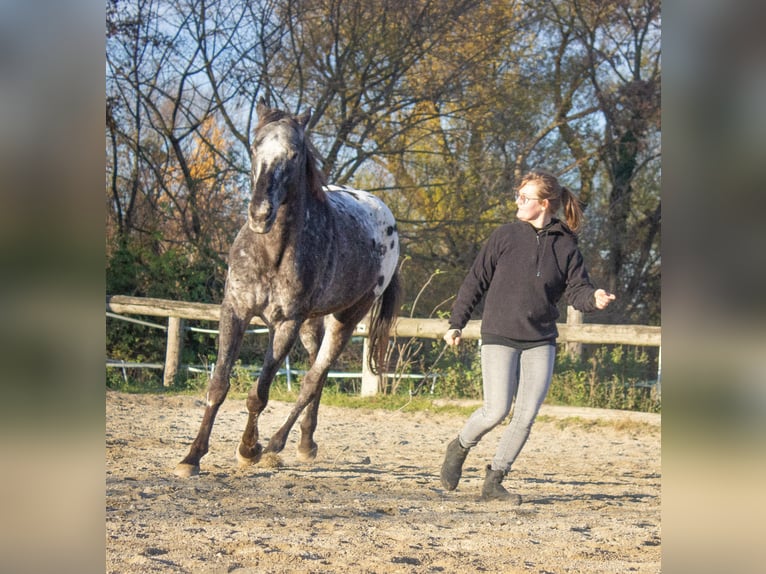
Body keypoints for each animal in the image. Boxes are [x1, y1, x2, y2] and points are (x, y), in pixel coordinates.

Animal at [174, 100, 402, 482]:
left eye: (294, 154)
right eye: (255, 147)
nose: (260, 213)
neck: (271, 252)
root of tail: (389, 220)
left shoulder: (285, 324)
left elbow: (259, 393)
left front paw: (248, 450)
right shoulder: (235, 311)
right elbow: (218, 385)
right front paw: (192, 457)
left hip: (345, 318)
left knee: (313, 378)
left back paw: (276, 446)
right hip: (313, 323)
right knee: (317, 375)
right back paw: (305, 443)